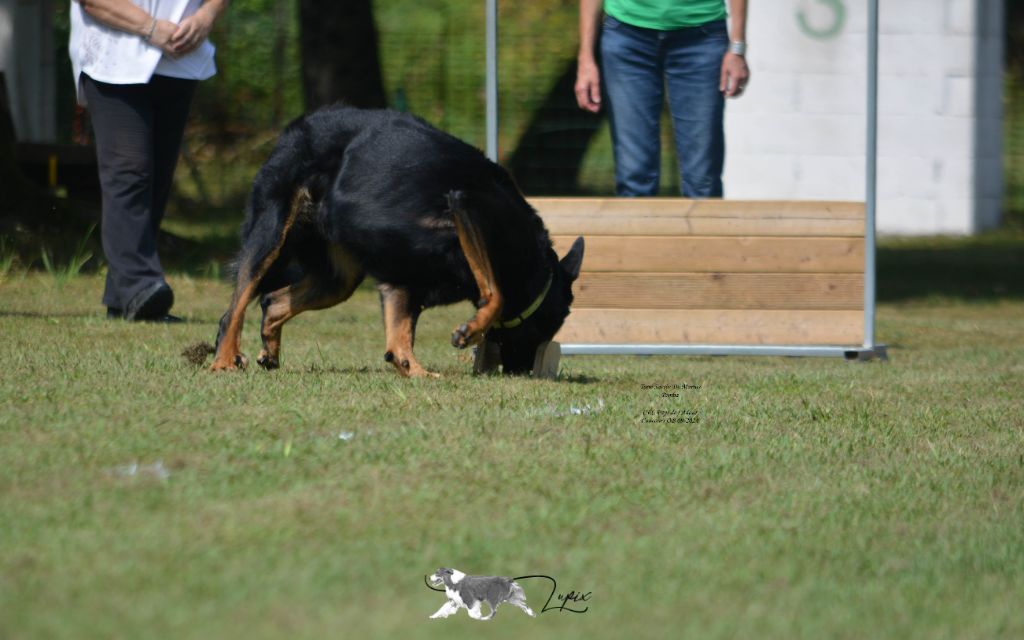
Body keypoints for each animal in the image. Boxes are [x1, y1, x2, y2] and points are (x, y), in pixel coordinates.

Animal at [207, 104, 585, 374]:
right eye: (549, 325)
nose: (522, 371)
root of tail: (294, 127)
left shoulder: (401, 282)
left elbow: (399, 341)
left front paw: (415, 371)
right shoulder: (465, 209)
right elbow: (495, 291)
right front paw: (469, 331)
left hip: (338, 279)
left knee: (272, 301)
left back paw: (269, 354)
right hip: (271, 232)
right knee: (235, 308)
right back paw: (224, 361)